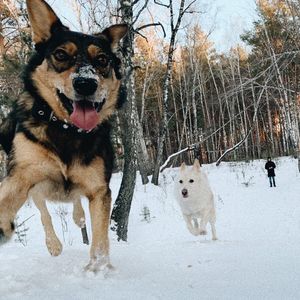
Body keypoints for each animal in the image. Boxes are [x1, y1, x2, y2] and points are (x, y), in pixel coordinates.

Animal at [0, 0, 127, 272]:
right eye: (60, 55)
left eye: (102, 60)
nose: (86, 83)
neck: (67, 130)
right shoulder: (24, 173)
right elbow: (12, 199)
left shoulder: (99, 189)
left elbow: (100, 240)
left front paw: (98, 270)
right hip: (37, 190)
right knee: (44, 212)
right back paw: (54, 245)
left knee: (77, 204)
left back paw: (79, 218)